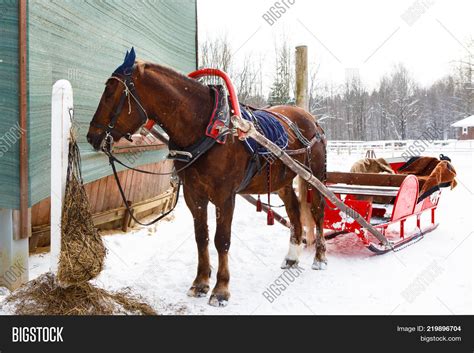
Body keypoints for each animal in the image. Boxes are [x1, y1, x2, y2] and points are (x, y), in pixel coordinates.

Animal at [87, 52, 328, 306]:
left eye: (110, 92)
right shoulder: (194, 194)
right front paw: (201, 282)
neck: (206, 128)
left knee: (317, 211)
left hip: (315, 175)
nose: (92, 136)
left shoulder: (225, 196)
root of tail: (311, 119)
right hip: (283, 180)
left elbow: (221, 240)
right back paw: (292, 257)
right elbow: (201, 237)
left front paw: (221, 289)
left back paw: (320, 257)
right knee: (293, 210)